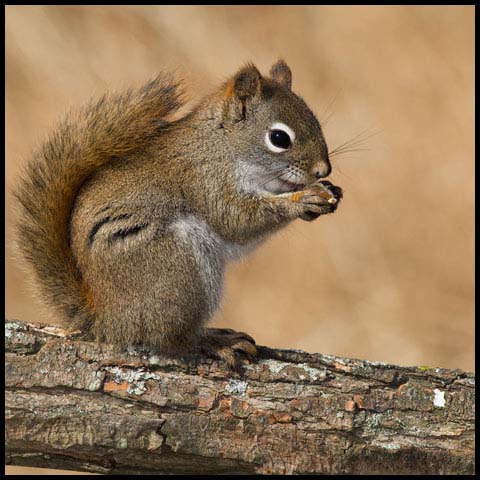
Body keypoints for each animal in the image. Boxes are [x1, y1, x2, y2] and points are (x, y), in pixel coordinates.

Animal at [14, 61, 342, 368]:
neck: (220, 145)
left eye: (315, 120)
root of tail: (108, 320)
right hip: (175, 267)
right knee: (170, 338)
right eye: (279, 138)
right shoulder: (205, 180)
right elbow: (237, 221)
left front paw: (327, 191)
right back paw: (212, 342)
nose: (322, 170)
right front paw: (302, 201)